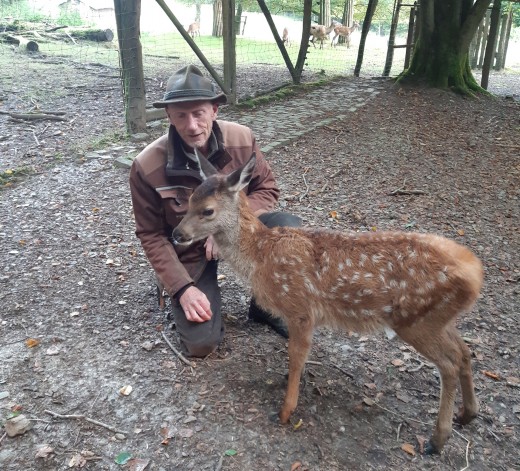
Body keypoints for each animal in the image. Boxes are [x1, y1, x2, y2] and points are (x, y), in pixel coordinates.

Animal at [171, 153, 483, 455]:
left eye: (208, 210)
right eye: (188, 200)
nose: (177, 234)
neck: (262, 255)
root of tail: (475, 273)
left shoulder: (300, 309)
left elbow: (296, 357)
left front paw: (285, 411)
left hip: (416, 319)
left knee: (449, 363)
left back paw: (437, 440)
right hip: (438, 318)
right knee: (464, 352)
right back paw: (467, 415)